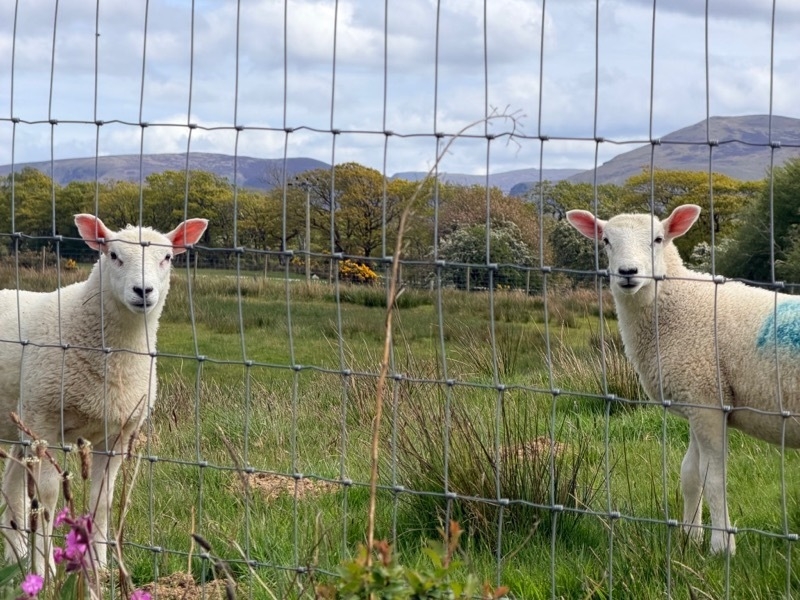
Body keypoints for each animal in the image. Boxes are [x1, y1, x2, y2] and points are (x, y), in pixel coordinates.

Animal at [0, 213, 208, 572]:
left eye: (167, 257)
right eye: (113, 255)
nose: (143, 291)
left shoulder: (117, 435)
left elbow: (103, 500)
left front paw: (99, 568)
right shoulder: (44, 422)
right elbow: (48, 497)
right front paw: (47, 570)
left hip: (18, 426)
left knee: (11, 489)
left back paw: (18, 561)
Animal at [566, 204, 800, 555]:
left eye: (658, 239)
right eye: (606, 240)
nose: (628, 272)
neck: (678, 303)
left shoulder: (708, 401)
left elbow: (713, 478)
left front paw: (721, 546)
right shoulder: (694, 397)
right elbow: (690, 474)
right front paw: (689, 536)